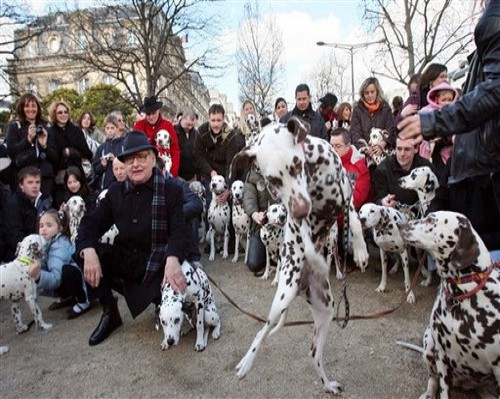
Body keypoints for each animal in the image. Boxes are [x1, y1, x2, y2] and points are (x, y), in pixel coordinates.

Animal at [229, 117, 368, 396]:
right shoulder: (300, 217)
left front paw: (359, 250)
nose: (301, 210)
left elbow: (356, 222)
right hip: (281, 299)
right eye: (272, 180)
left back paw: (328, 384)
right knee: (263, 330)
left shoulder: (346, 198)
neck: (315, 174)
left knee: (314, 354)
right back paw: (246, 363)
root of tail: (302, 283)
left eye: (296, 165)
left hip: (326, 311)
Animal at [398, 211, 500, 398]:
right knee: (433, 379)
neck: (459, 295)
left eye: (430, 219)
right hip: (429, 343)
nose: (401, 224)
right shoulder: (442, 355)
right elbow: (443, 389)